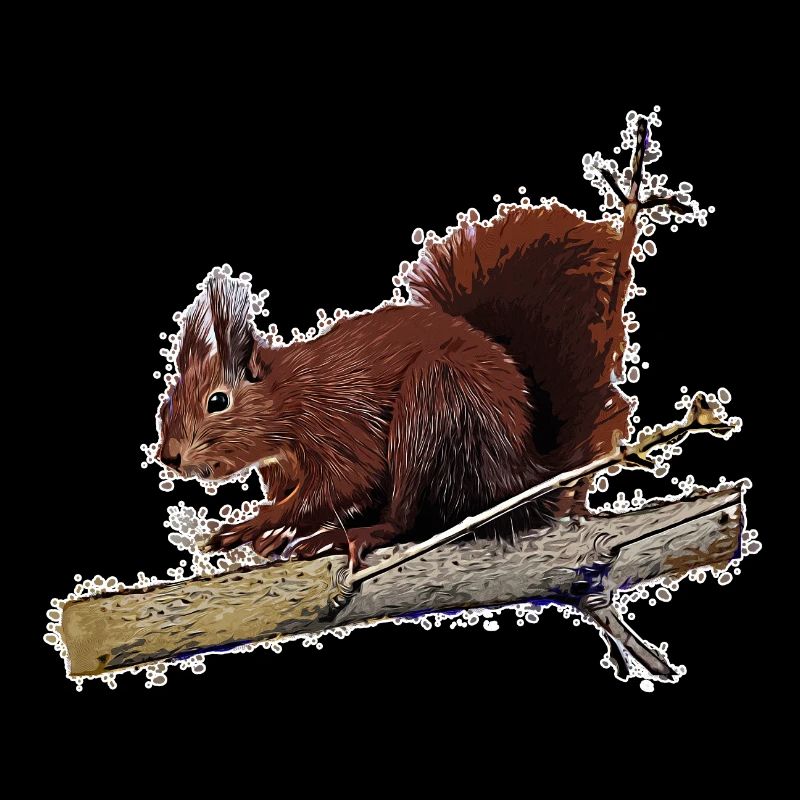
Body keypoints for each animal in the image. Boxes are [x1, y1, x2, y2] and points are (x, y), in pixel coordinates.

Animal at [158, 118, 678, 569]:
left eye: (217, 401)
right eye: (167, 405)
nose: (169, 457)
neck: (287, 395)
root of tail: (525, 473)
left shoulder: (335, 423)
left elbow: (347, 480)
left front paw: (252, 525)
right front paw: (269, 535)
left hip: (437, 408)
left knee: (409, 517)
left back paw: (356, 536)